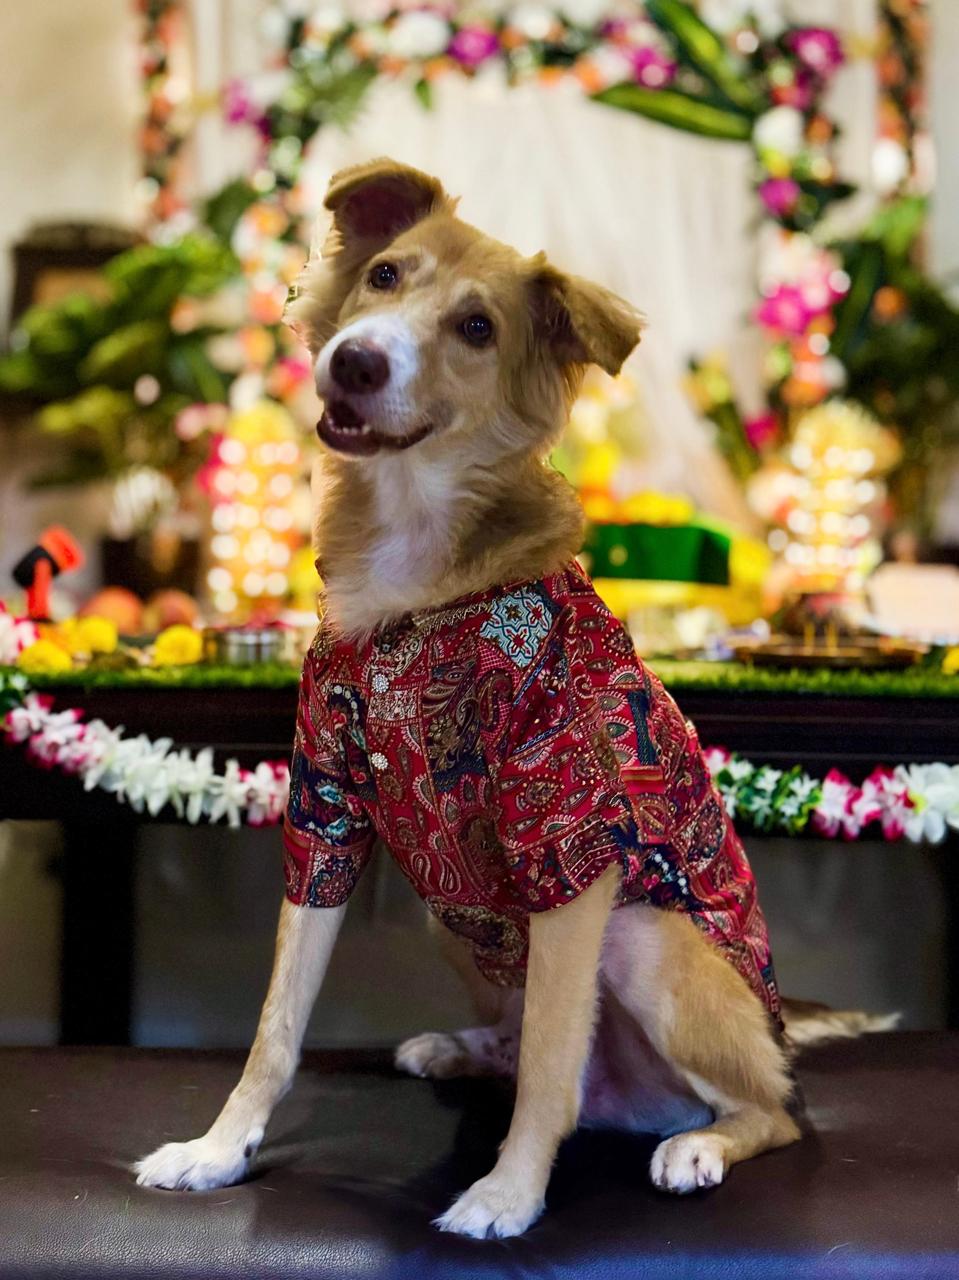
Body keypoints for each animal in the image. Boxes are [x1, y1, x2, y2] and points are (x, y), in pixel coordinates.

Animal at [134, 157, 880, 1239]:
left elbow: (548, 1067)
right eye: (385, 275)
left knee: (769, 1107)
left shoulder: (564, 838)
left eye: (477, 328)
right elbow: (276, 1023)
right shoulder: (325, 814)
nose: (356, 362)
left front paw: (507, 1193)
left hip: (648, 941)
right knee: (524, 1036)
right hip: (448, 911)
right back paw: (462, 1047)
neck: (415, 560)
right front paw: (216, 1149)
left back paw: (699, 1142)